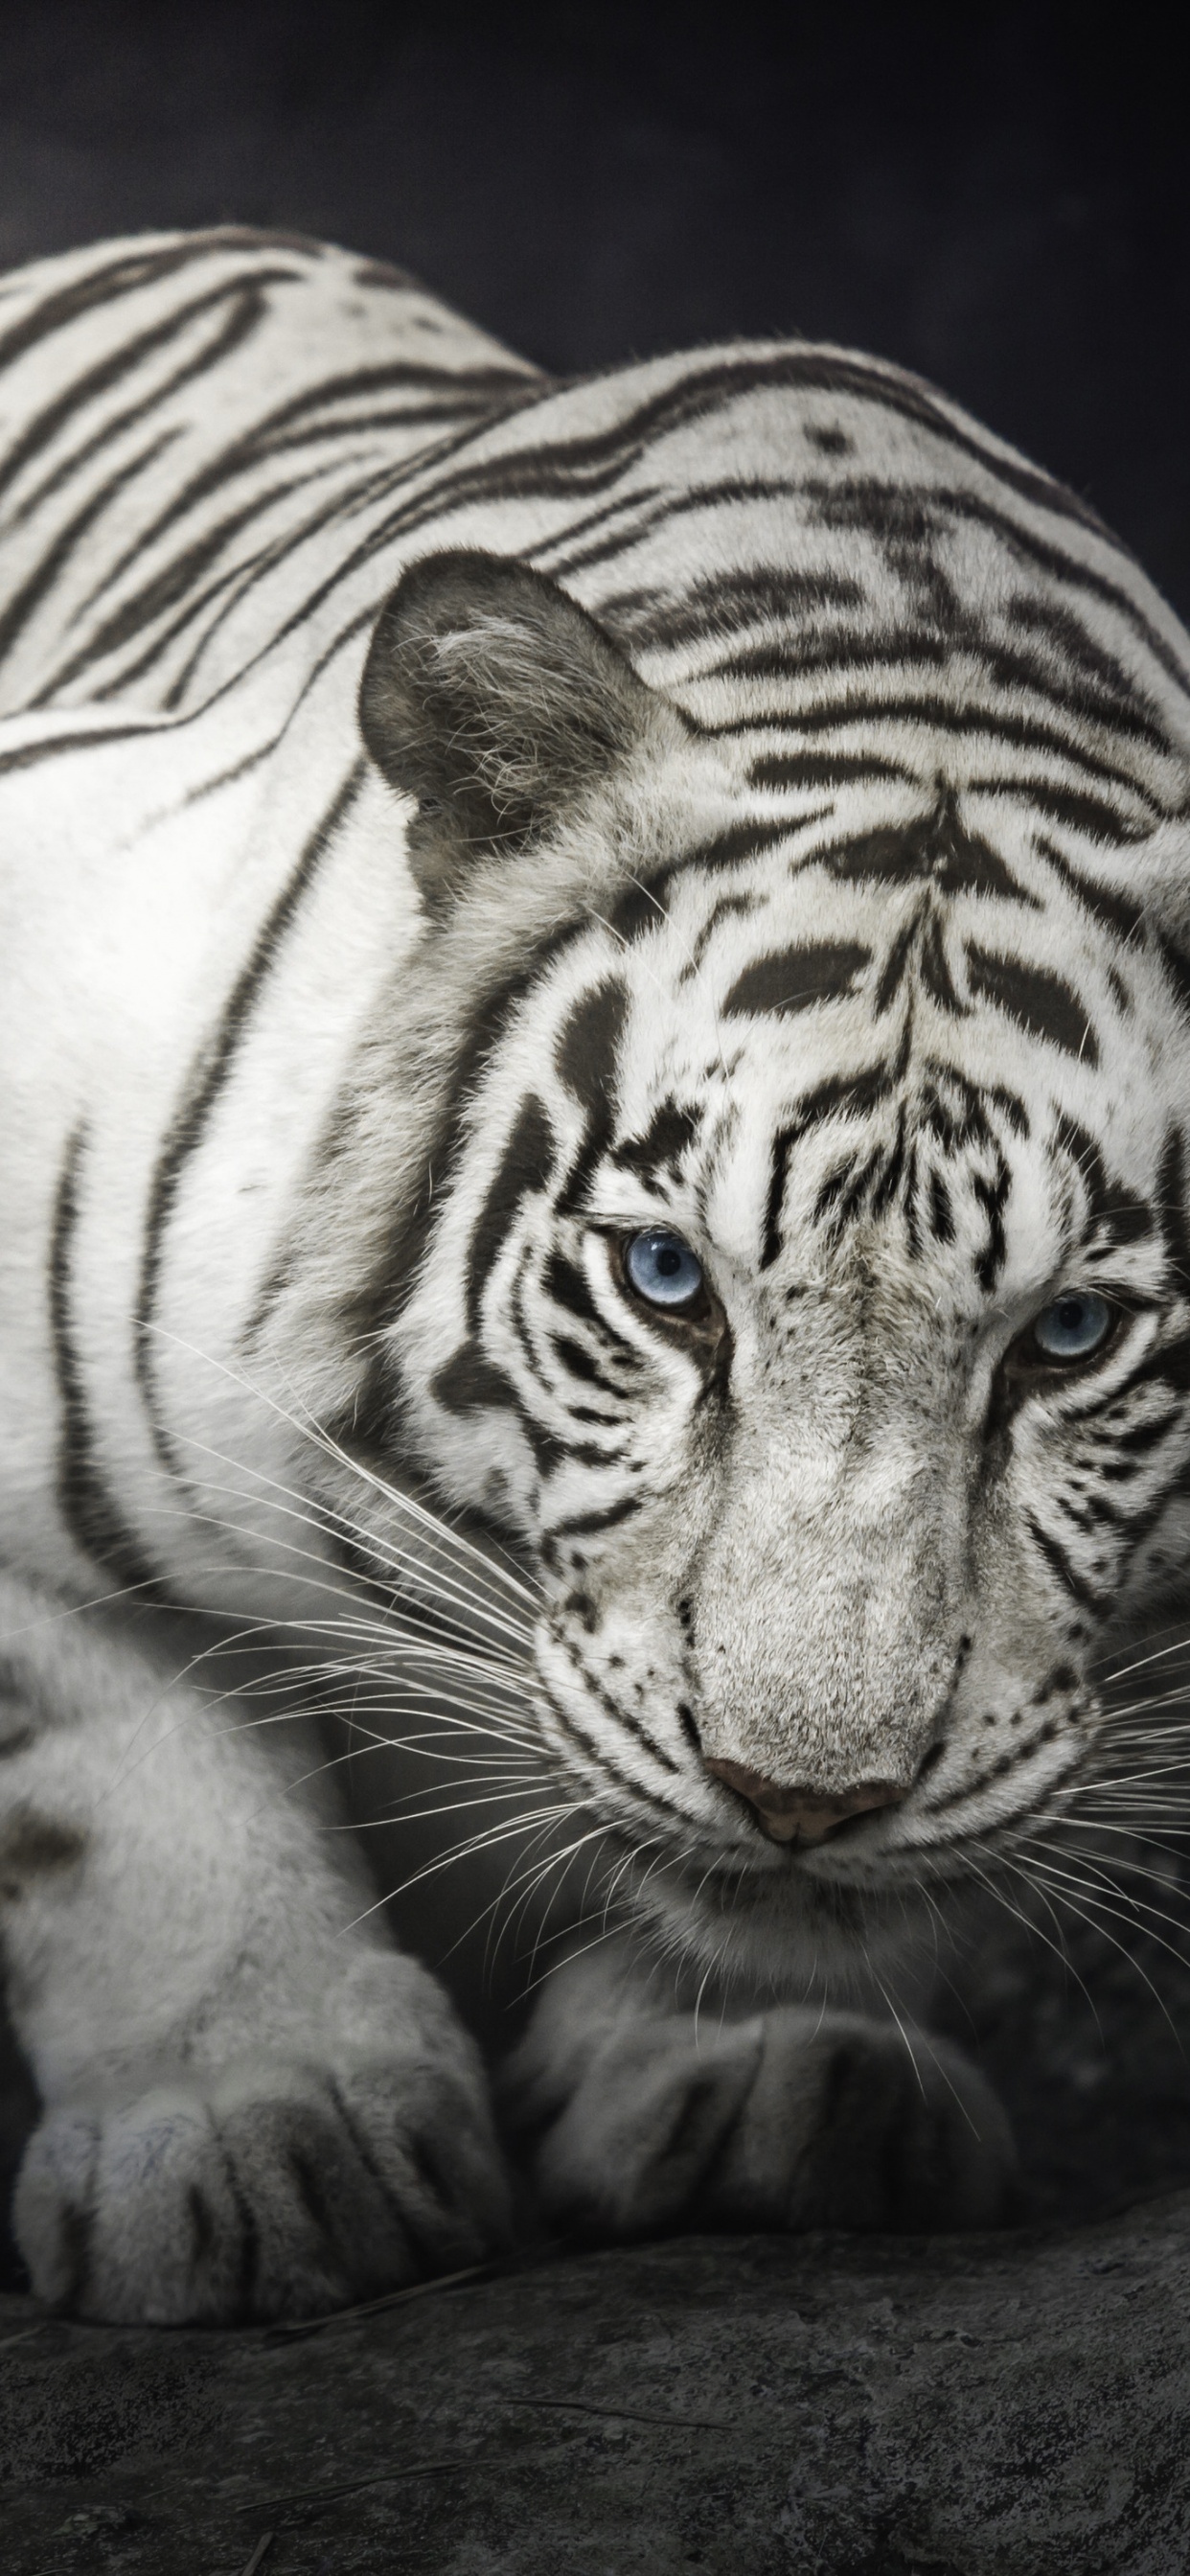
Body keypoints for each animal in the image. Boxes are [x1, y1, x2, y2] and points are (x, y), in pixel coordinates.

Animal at [1, 224, 1187, 2324]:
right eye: (664, 1282)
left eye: (1071, 1336)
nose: (804, 1799)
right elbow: (122, 1764)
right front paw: (251, 2127)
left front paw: (779, 2067)